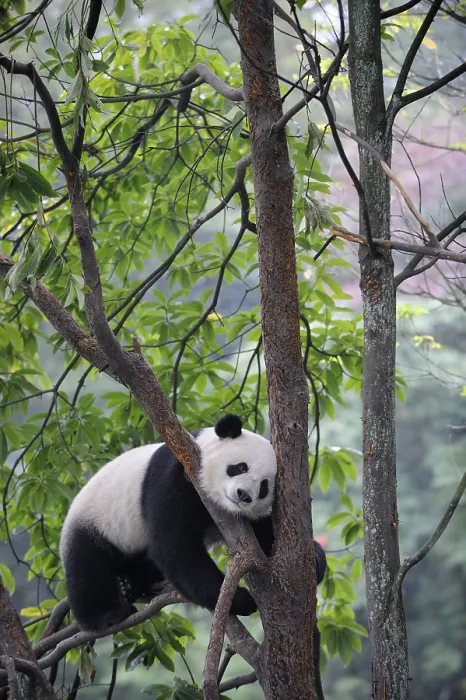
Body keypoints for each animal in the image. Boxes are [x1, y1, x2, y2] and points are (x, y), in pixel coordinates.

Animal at [60, 413, 327, 632]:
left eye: (263, 487)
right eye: (240, 467)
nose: (243, 495)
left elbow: (264, 536)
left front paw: (314, 560)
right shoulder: (174, 478)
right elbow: (175, 546)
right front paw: (239, 599)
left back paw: (133, 584)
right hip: (96, 520)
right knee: (88, 566)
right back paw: (107, 615)